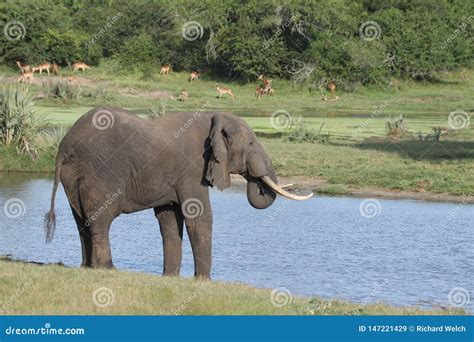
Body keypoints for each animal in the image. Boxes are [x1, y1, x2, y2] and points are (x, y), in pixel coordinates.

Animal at [43, 107, 312, 278]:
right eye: (252, 143)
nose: (257, 181)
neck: (213, 117)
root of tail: (64, 146)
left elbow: (169, 220)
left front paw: (170, 278)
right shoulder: (192, 169)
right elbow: (199, 217)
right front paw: (203, 281)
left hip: (74, 176)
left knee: (81, 221)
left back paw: (87, 268)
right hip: (101, 172)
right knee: (101, 219)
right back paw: (107, 269)